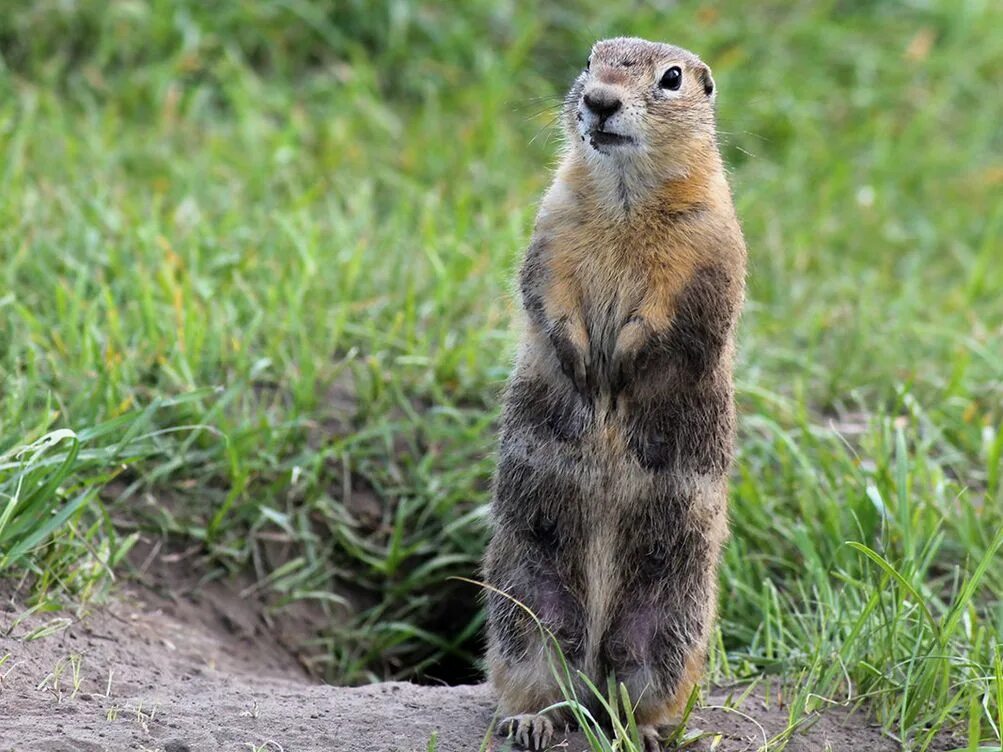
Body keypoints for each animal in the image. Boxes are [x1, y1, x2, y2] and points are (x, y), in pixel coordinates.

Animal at [481, 36, 750, 752]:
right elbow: (546, 286)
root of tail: (596, 661)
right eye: (589, 61)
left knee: (636, 693)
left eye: (673, 77)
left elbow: (674, 316)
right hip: (526, 608)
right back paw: (530, 721)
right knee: (548, 677)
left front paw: (619, 366)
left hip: (672, 622)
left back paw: (648, 731)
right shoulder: (553, 222)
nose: (600, 100)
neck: (625, 196)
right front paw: (583, 363)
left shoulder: (707, 245)